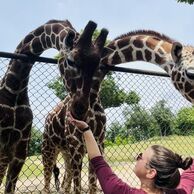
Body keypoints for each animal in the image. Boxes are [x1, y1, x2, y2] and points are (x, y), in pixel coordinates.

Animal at [41, 21, 108, 194]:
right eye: (71, 62)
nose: (78, 109)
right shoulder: (76, 144)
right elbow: (77, 186)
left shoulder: (98, 141)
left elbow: (92, 183)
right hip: (48, 149)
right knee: (47, 181)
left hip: (65, 151)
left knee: (66, 179)